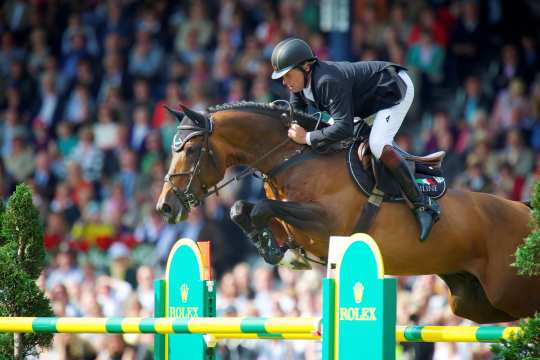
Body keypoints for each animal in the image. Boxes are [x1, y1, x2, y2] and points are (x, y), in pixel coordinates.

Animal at [154, 101, 536, 324]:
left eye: (190, 150)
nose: (165, 207)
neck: (293, 158)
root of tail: (524, 210)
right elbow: (241, 209)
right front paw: (277, 251)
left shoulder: (326, 224)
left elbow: (260, 208)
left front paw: (283, 254)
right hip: (475, 302)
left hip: (510, 292)